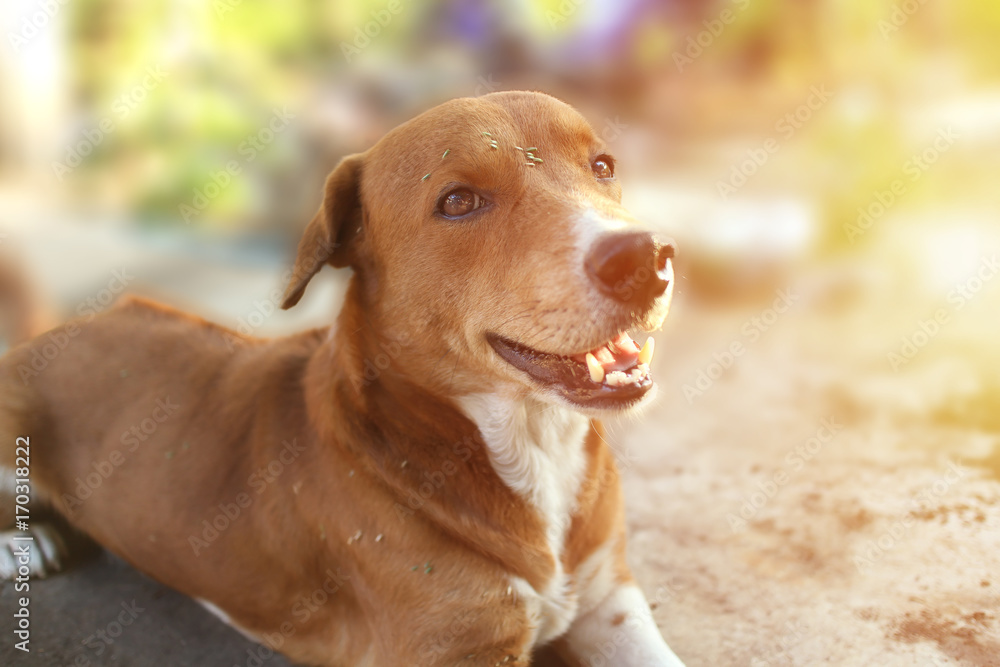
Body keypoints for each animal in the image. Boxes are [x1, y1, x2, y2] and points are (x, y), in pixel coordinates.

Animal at [0, 92, 684, 667]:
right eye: (458, 201)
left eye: (603, 165)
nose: (648, 257)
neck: (529, 442)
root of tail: (50, 334)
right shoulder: (457, 650)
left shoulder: (609, 600)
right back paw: (27, 546)